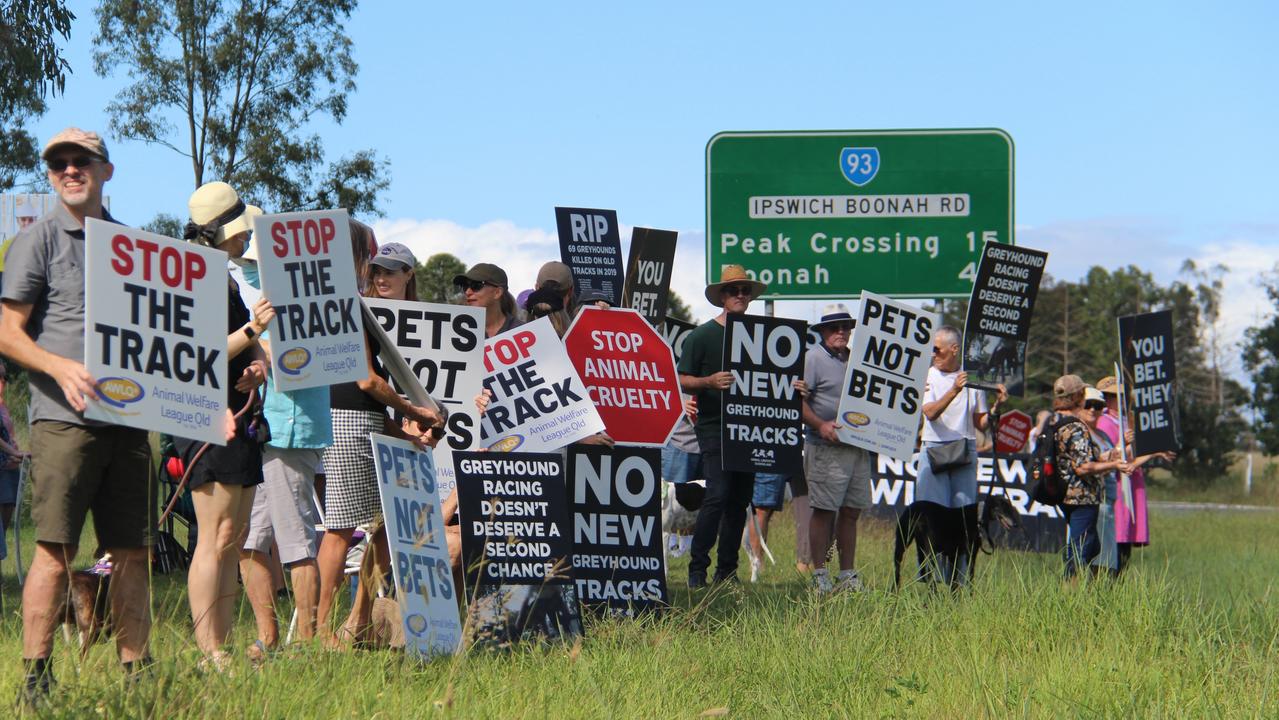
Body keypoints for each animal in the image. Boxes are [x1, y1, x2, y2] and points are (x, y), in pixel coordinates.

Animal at [895, 496, 1023, 590]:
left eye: (1011, 508)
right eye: (1002, 508)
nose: (1016, 524)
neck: (979, 516)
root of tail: (913, 510)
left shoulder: (954, 555)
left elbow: (954, 581)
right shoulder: (970, 554)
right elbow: (969, 578)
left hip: (912, 545)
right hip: (926, 549)